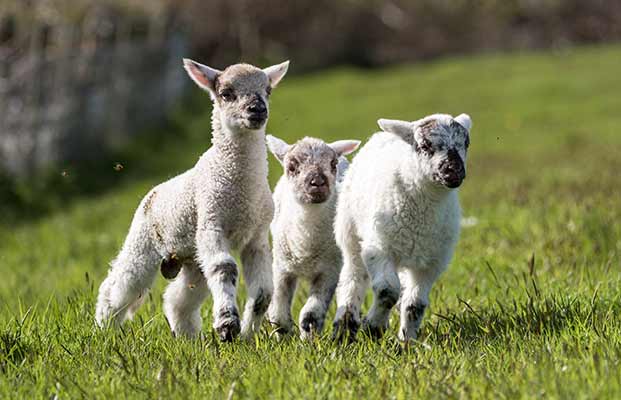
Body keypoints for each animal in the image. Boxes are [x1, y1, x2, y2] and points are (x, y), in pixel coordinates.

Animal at [95, 58, 290, 340]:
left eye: (268, 90)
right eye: (226, 93)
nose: (257, 110)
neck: (243, 190)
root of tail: (152, 192)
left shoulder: (256, 236)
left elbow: (264, 293)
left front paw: (246, 335)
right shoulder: (211, 221)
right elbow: (225, 268)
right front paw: (228, 326)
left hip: (194, 257)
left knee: (178, 298)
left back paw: (187, 337)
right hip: (143, 241)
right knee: (120, 283)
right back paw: (103, 328)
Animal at [266, 134, 360, 338]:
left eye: (332, 164)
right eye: (292, 166)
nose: (317, 181)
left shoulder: (330, 269)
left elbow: (310, 314)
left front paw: (308, 338)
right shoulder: (281, 267)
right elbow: (277, 313)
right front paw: (283, 336)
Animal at [332, 112, 472, 340]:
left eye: (466, 143)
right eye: (425, 145)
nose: (454, 171)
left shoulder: (432, 262)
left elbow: (416, 304)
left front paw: (408, 341)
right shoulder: (379, 248)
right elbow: (388, 291)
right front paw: (373, 328)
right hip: (350, 232)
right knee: (352, 278)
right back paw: (344, 328)